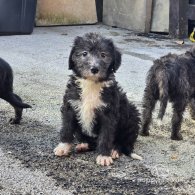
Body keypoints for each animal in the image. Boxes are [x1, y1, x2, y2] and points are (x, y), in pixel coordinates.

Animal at [53, 32, 142, 166]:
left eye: (103, 55)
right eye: (84, 53)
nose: (94, 69)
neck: (91, 84)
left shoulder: (109, 114)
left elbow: (105, 136)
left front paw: (104, 155)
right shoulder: (70, 106)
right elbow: (67, 128)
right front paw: (63, 147)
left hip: (132, 115)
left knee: (125, 140)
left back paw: (115, 149)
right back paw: (84, 145)